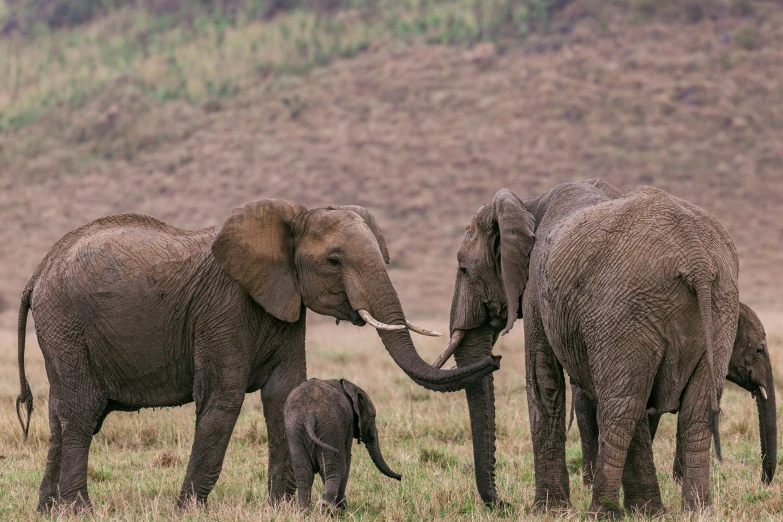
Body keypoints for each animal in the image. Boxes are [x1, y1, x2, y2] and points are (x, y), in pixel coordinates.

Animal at [284, 378, 404, 508]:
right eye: (373, 416)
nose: (401, 477)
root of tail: (309, 416)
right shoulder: (348, 424)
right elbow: (347, 460)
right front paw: (343, 507)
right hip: (330, 426)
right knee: (335, 466)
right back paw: (326, 506)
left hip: (295, 429)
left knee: (303, 471)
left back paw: (304, 510)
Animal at [438, 180, 740, 516]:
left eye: (463, 269)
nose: (503, 503)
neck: (529, 204)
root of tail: (696, 260)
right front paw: (646, 512)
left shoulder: (537, 292)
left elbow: (543, 379)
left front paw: (549, 511)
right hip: (719, 306)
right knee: (692, 413)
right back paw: (697, 511)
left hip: (626, 308)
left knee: (621, 410)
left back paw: (601, 512)